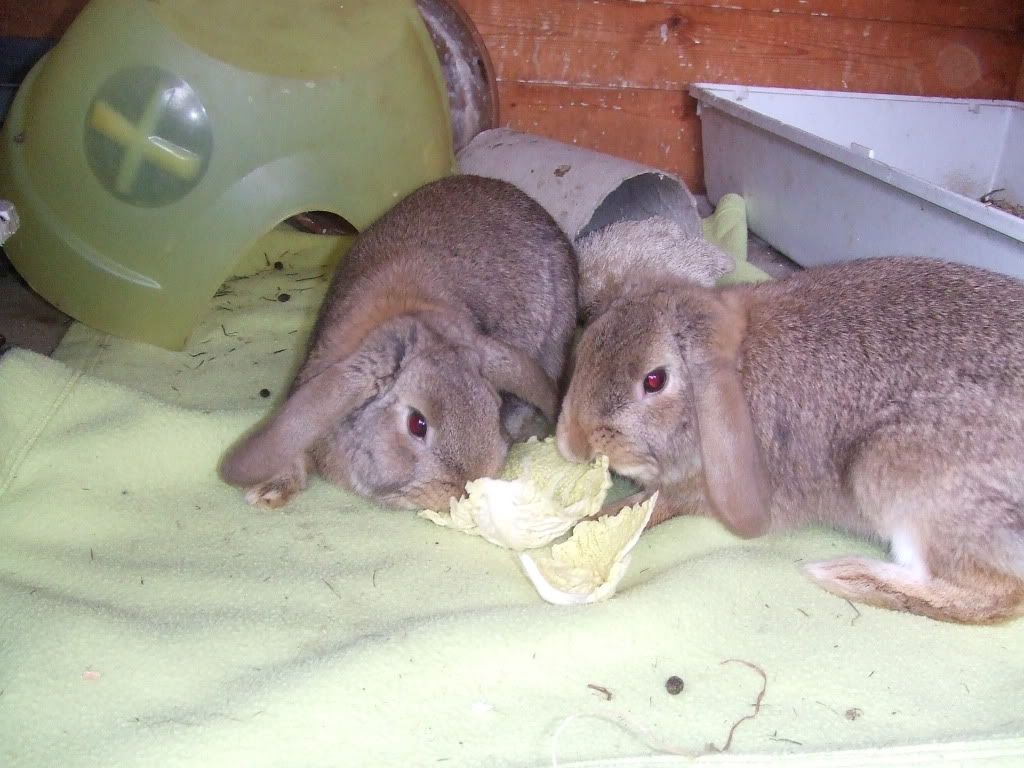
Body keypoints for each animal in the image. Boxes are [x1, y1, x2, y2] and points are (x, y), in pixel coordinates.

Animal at [561, 259, 1024, 626]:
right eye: (587, 342)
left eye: (654, 380)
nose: (573, 442)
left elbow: (651, 506)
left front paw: (586, 523)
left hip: (894, 475)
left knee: (996, 595)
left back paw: (846, 574)